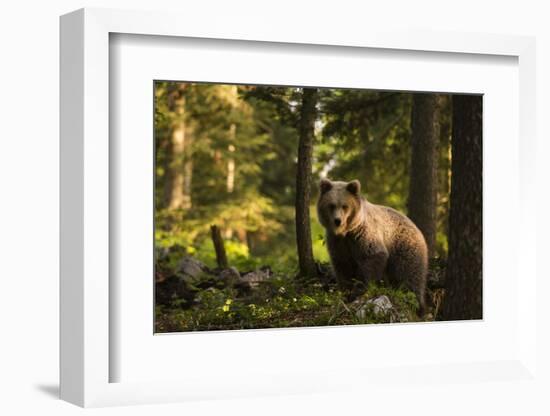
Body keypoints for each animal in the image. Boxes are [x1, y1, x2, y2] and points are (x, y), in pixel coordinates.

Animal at [316, 177, 430, 314]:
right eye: (331, 205)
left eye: (344, 206)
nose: (338, 220)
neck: (346, 231)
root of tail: (417, 229)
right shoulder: (338, 242)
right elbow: (342, 264)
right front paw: (346, 291)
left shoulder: (363, 234)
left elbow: (372, 256)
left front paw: (359, 290)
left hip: (404, 246)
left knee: (410, 274)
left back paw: (415, 303)